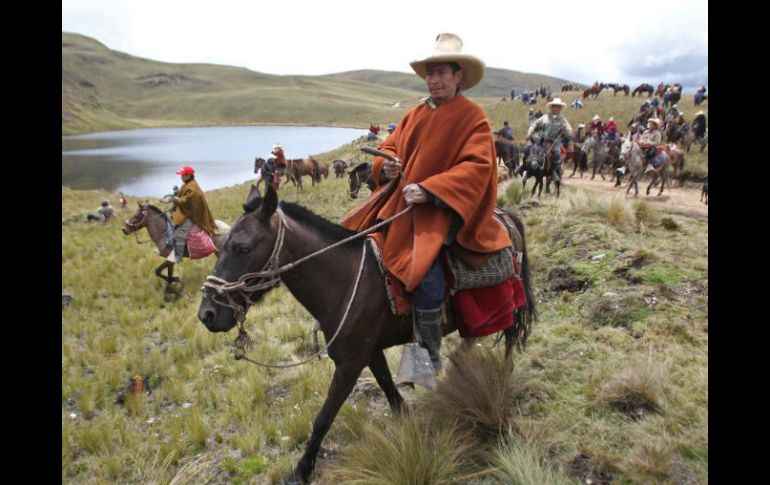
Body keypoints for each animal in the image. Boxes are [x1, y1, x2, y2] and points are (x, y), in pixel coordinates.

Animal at [198, 183, 536, 482]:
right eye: (220, 246)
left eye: (243, 248)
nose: (207, 314)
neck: (346, 280)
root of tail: (507, 217)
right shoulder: (370, 353)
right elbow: (390, 391)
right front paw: (406, 427)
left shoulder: (350, 363)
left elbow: (323, 418)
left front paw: (301, 470)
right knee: (474, 339)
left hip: (507, 303)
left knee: (509, 339)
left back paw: (502, 376)